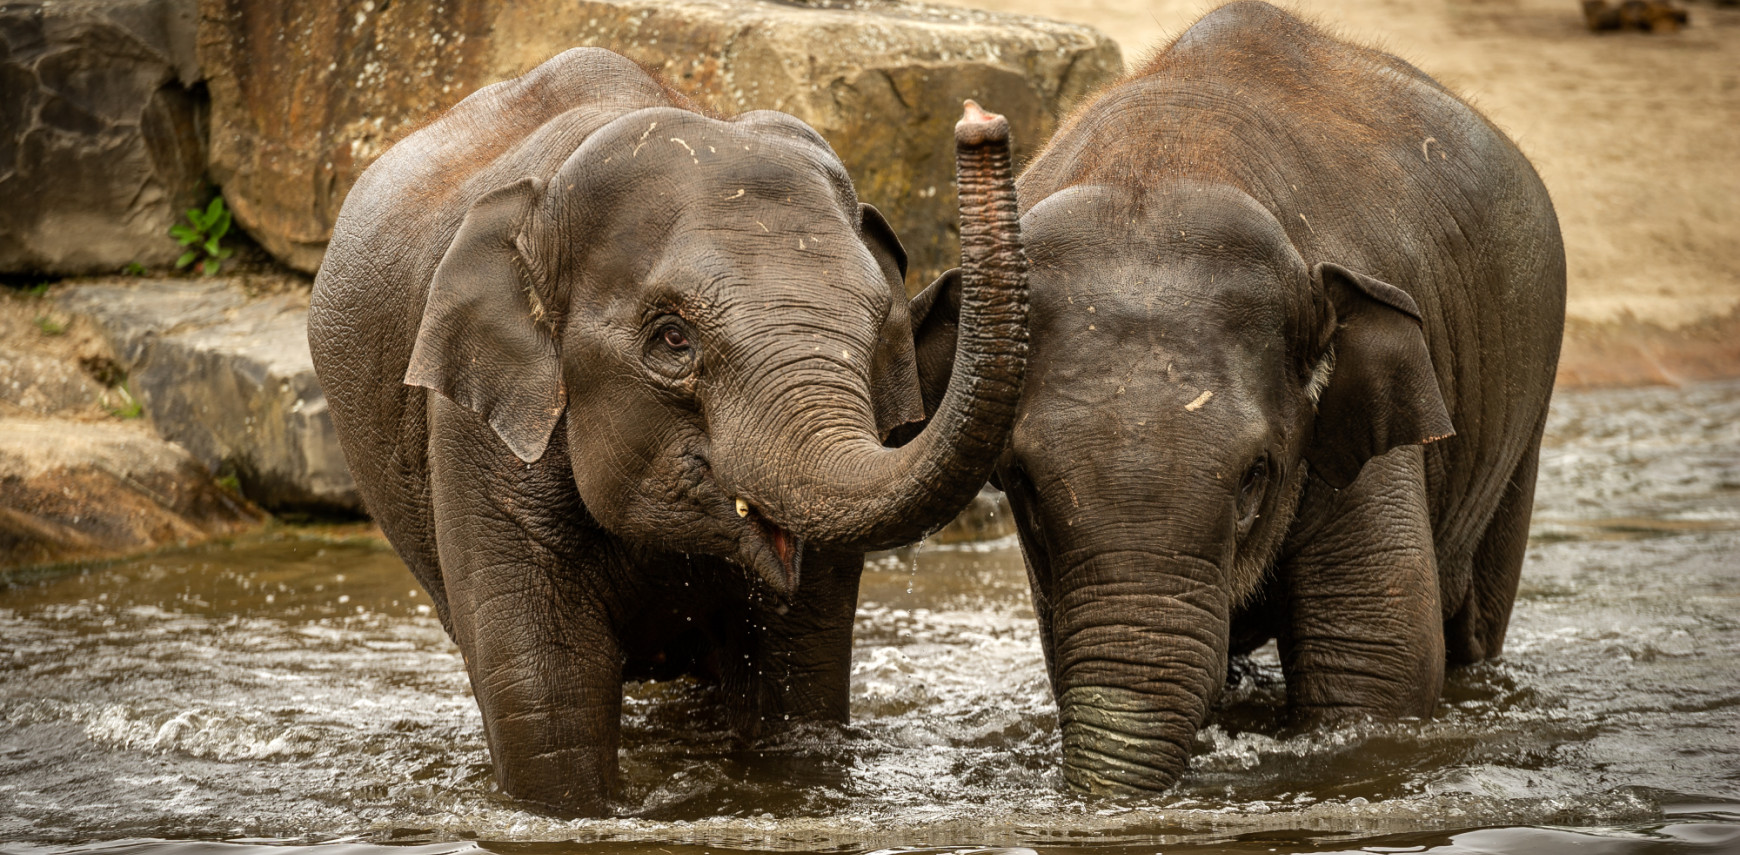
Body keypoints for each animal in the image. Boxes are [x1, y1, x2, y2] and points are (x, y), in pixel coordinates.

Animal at [309, 48, 1030, 814]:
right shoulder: (478, 433)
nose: (979, 118)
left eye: (879, 328)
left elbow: (796, 678)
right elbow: (543, 700)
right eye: (673, 339)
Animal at [911, 3, 1566, 801]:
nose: (977, 120)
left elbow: (1375, 660)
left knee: (1473, 621)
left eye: (1257, 476)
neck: (1170, 156)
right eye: (1022, 486)